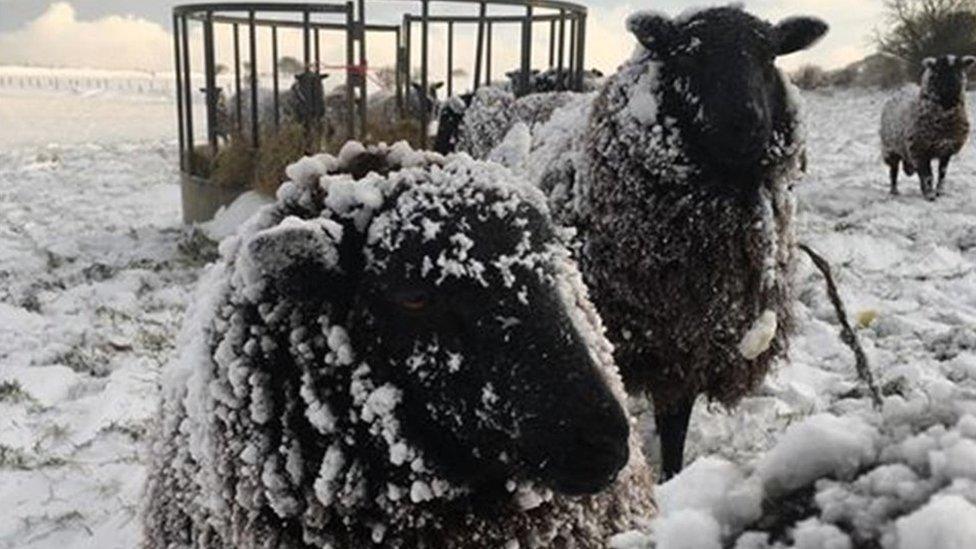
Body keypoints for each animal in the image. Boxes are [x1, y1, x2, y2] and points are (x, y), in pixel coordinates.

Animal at [880, 54, 972, 200]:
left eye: (960, 69)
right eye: (938, 71)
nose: (952, 87)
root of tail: (904, 87)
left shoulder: (946, 150)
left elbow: (942, 173)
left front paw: (939, 191)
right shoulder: (921, 150)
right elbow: (928, 175)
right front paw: (930, 195)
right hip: (890, 149)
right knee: (894, 171)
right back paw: (894, 191)